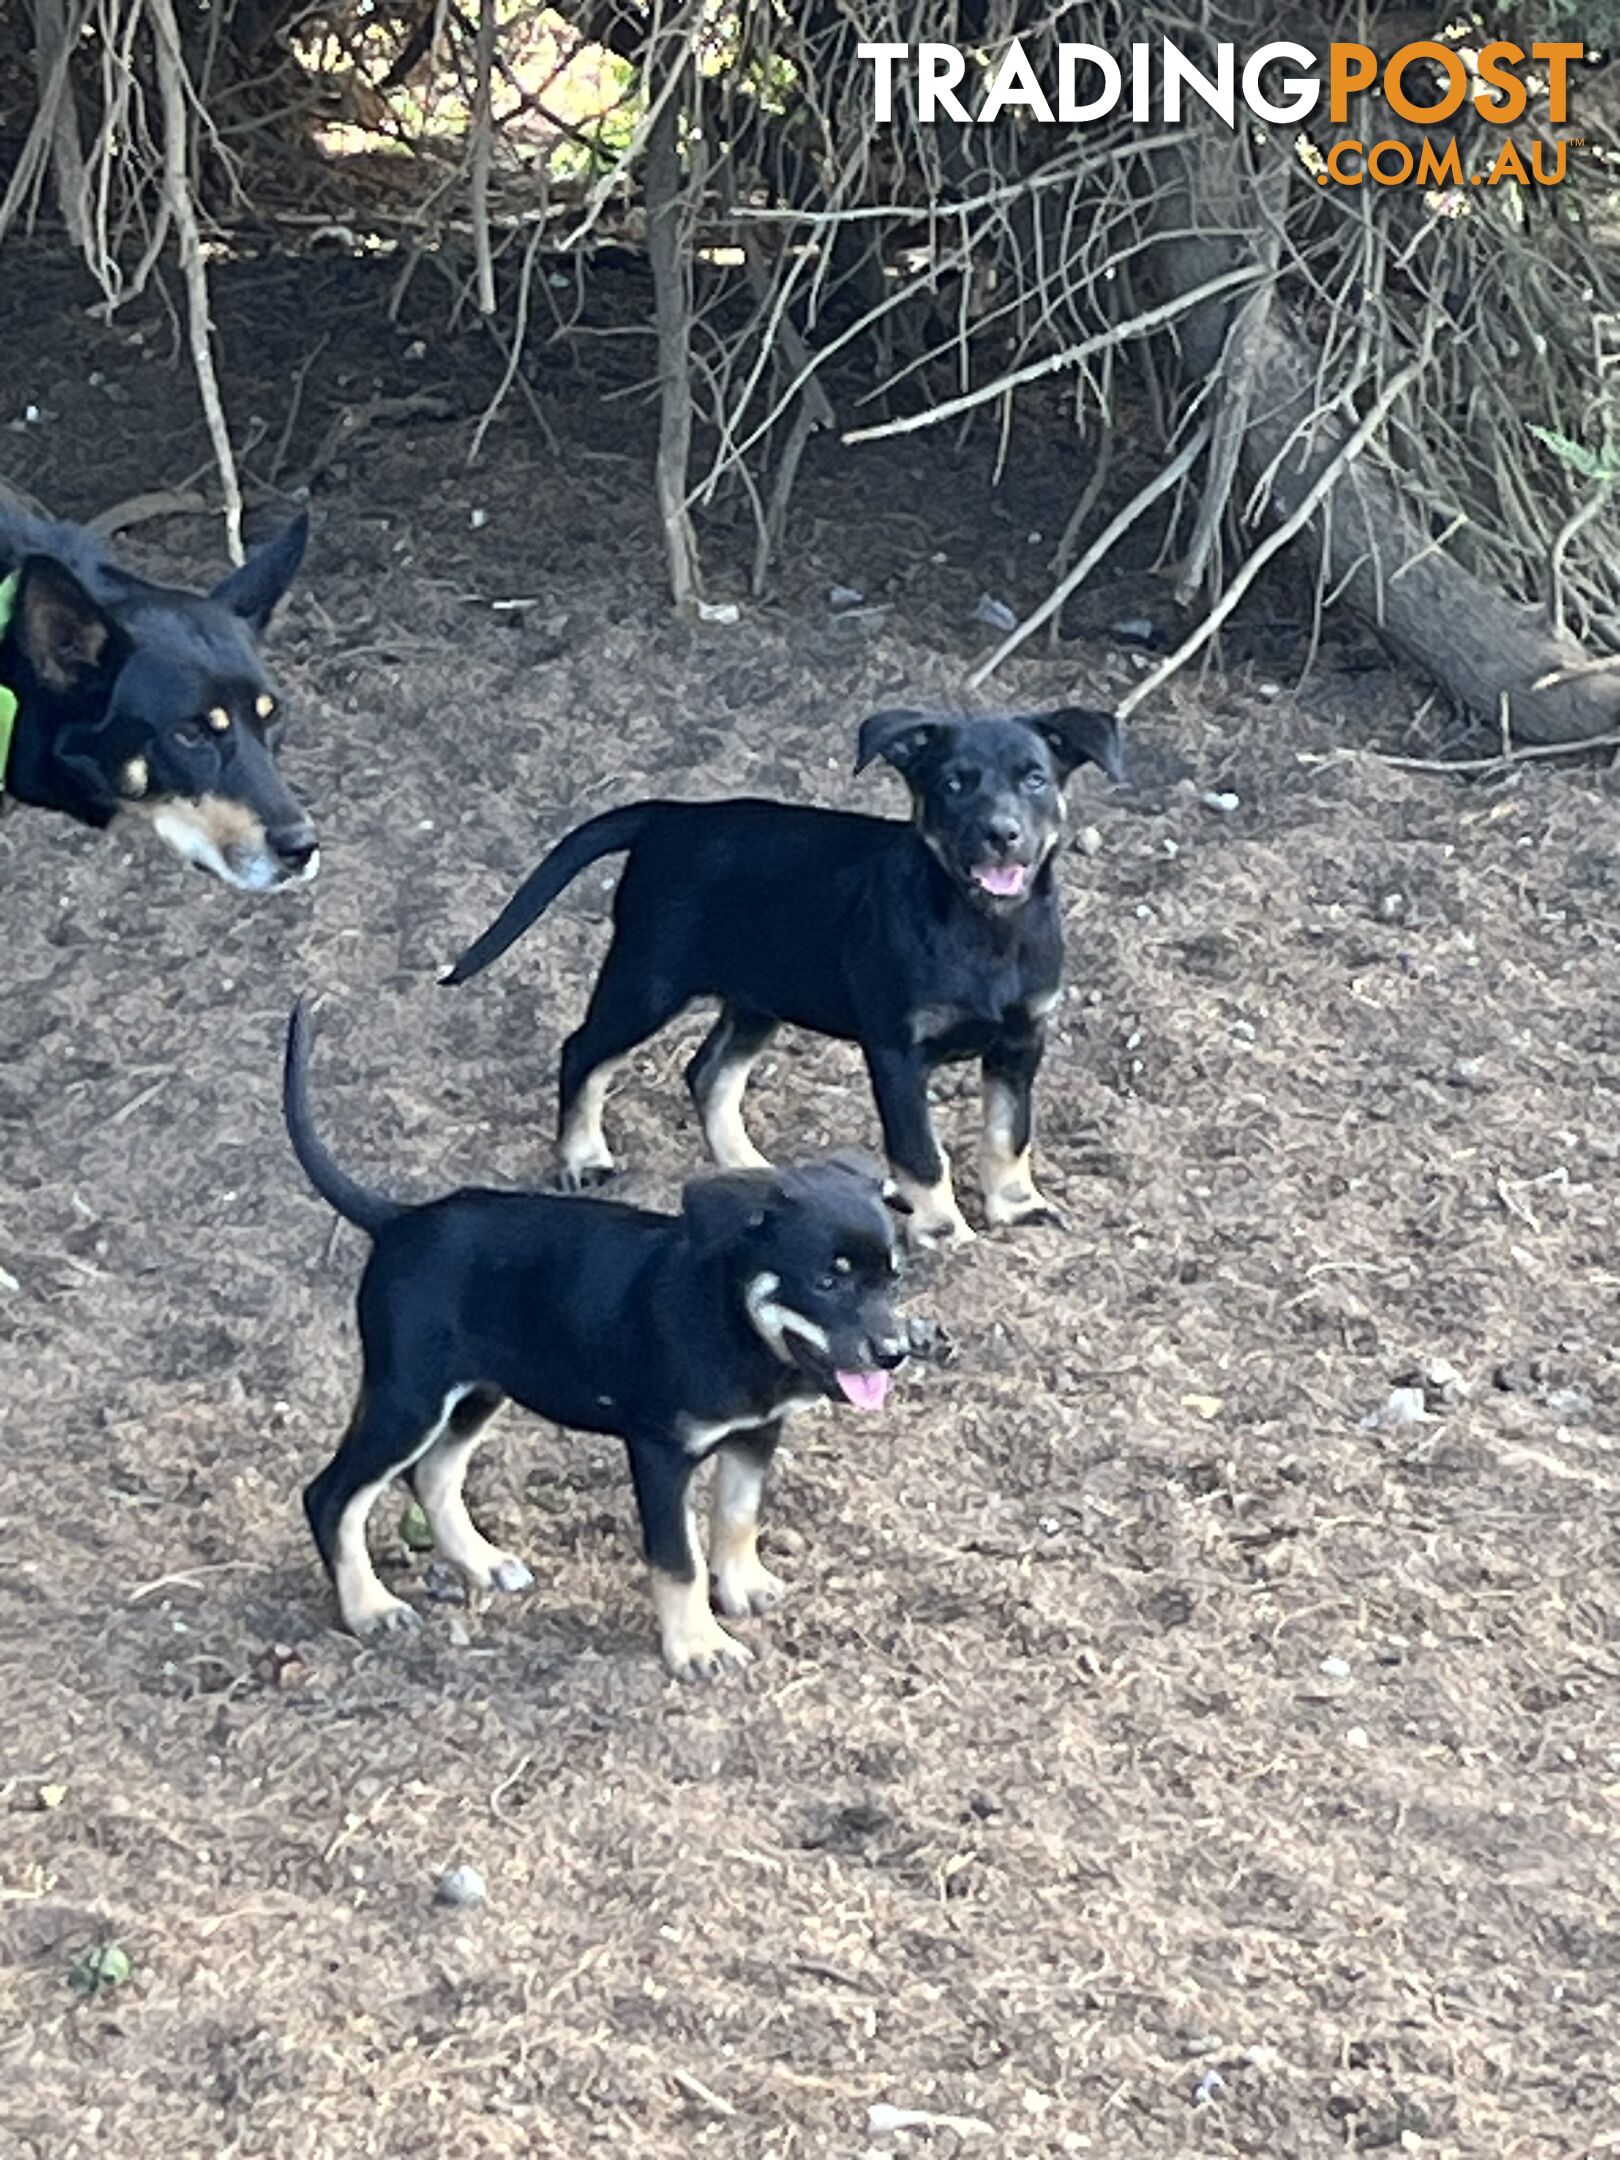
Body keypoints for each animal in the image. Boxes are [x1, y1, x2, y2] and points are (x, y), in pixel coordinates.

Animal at [282, 1002, 933, 1676]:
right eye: (827, 1281)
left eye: (893, 1276)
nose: (894, 1353)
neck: (734, 1327)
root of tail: (397, 1221)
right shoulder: (659, 1451)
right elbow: (678, 1561)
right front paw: (697, 1646)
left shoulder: (757, 1434)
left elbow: (738, 1513)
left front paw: (744, 1586)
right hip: (408, 1397)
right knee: (331, 1496)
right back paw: (370, 1609)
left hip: (477, 1390)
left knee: (432, 1474)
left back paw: (480, 1562)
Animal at [451, 708, 1123, 1252]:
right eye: (953, 783)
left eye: (1035, 778)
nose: (1002, 835)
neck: (987, 928)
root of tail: (671, 817)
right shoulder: (897, 1051)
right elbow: (921, 1153)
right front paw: (943, 1231)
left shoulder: (1022, 1039)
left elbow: (1010, 1132)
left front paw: (1018, 1207)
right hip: (648, 980)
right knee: (583, 1051)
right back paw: (582, 1158)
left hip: (758, 996)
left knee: (707, 1072)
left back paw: (749, 1168)